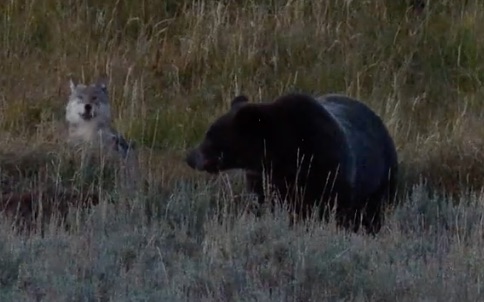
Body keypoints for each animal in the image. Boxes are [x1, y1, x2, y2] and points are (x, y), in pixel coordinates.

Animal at [185, 92, 398, 234]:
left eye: (210, 136)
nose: (190, 157)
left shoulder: (327, 170)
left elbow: (331, 209)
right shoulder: (264, 179)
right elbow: (265, 203)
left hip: (381, 177)